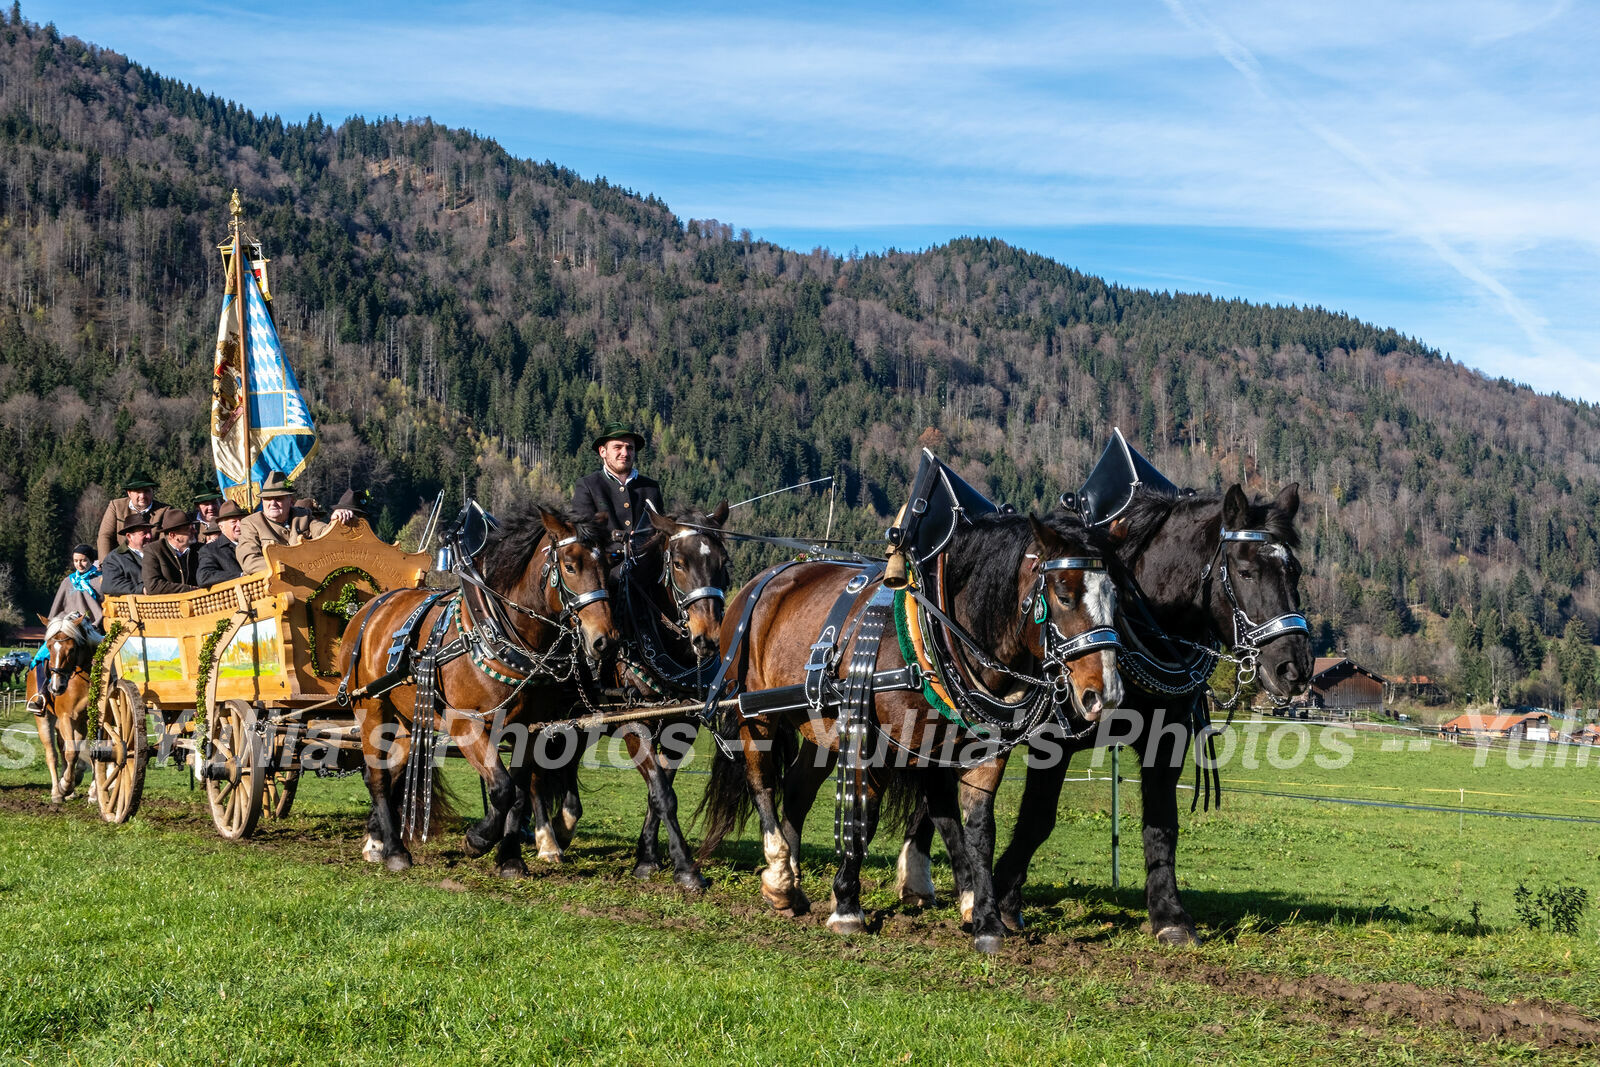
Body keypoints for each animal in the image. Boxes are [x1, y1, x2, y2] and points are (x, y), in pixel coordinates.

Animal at [27, 614, 101, 806]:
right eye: (49, 647)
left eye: (72, 649)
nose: (56, 687)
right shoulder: (67, 717)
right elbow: (71, 753)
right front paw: (66, 785)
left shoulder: (91, 720)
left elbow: (91, 751)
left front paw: (94, 793)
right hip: (45, 718)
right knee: (52, 754)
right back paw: (57, 791)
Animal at [334, 505, 614, 883]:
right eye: (570, 565)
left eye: (609, 563)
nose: (604, 640)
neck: (494, 633)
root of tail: (368, 608)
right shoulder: (465, 723)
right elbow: (502, 788)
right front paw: (478, 839)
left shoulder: (528, 728)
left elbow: (519, 793)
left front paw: (509, 858)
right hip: (371, 707)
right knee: (376, 776)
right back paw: (394, 851)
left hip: (407, 720)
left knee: (390, 772)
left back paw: (376, 842)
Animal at [531, 505, 732, 889]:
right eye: (679, 563)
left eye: (723, 562)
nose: (708, 639)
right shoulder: (634, 724)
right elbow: (664, 795)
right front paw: (685, 867)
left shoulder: (681, 727)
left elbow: (658, 792)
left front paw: (647, 857)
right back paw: (543, 839)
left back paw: (563, 826)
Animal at [700, 511, 1126, 953]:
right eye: (1064, 594)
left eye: (1115, 596)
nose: (1106, 693)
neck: (938, 639)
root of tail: (765, 579)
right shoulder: (876, 746)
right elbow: (865, 820)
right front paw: (847, 906)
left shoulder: (972, 752)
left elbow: (975, 829)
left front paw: (987, 918)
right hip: (755, 715)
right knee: (762, 783)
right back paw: (780, 876)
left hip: (820, 728)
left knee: (798, 789)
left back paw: (793, 884)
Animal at [902, 483, 1312, 940]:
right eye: (1245, 571)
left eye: (1295, 572)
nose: (1295, 668)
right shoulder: (1052, 742)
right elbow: (1037, 819)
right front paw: (1005, 900)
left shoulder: (1166, 737)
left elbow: (1162, 822)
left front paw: (1169, 915)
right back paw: (960, 889)